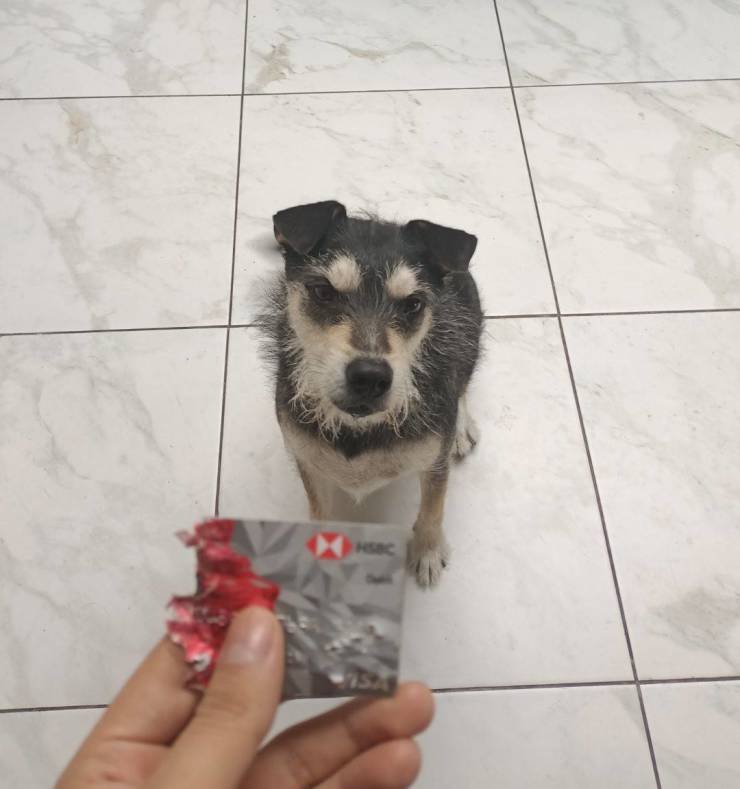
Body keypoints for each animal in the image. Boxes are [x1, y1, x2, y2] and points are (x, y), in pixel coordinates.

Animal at [259, 200, 483, 586]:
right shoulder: (308, 462)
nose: (370, 377)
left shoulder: (434, 462)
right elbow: (318, 511)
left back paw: (461, 427)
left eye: (413, 304)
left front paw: (427, 551)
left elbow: (433, 508)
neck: (358, 427)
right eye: (323, 291)